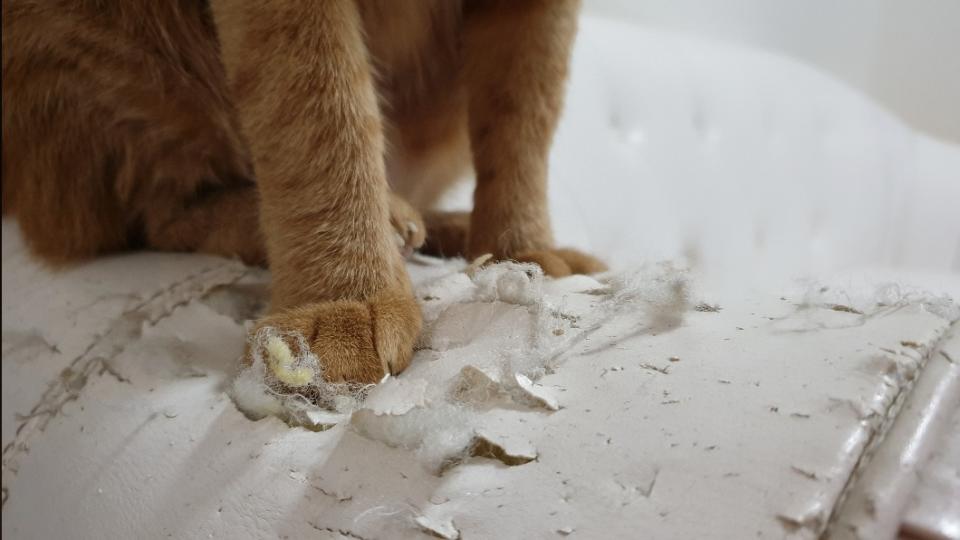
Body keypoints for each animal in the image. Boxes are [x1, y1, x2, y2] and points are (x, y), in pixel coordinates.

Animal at [1, 1, 608, 384]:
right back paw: (389, 223)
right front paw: (345, 294)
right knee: (135, 215)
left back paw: (439, 227)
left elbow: (524, 110)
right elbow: (316, 101)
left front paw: (522, 250)